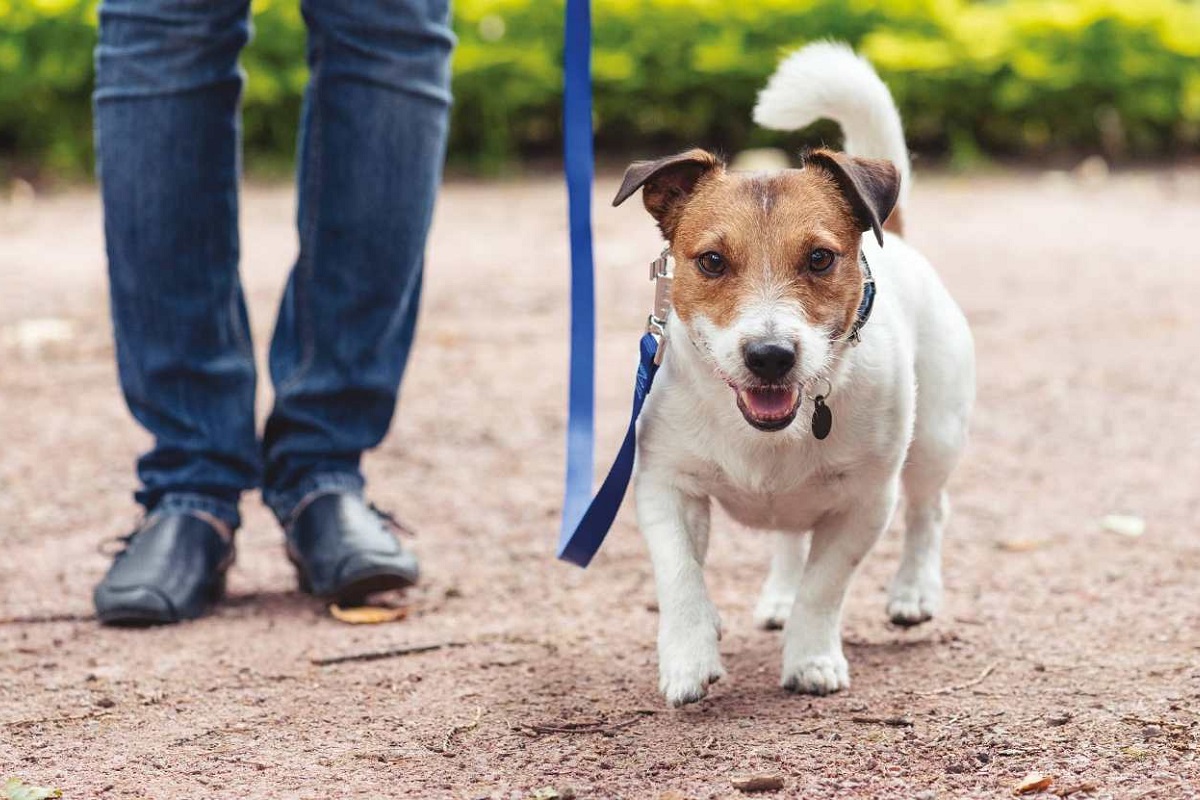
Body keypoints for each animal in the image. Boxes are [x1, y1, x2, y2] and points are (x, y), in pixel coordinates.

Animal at [614, 43, 969, 705]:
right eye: (711, 261)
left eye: (821, 258)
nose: (771, 356)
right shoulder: (666, 485)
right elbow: (680, 576)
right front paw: (689, 655)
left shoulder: (865, 502)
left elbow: (824, 586)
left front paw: (811, 659)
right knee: (789, 539)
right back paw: (778, 596)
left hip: (937, 436)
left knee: (929, 510)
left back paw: (913, 592)